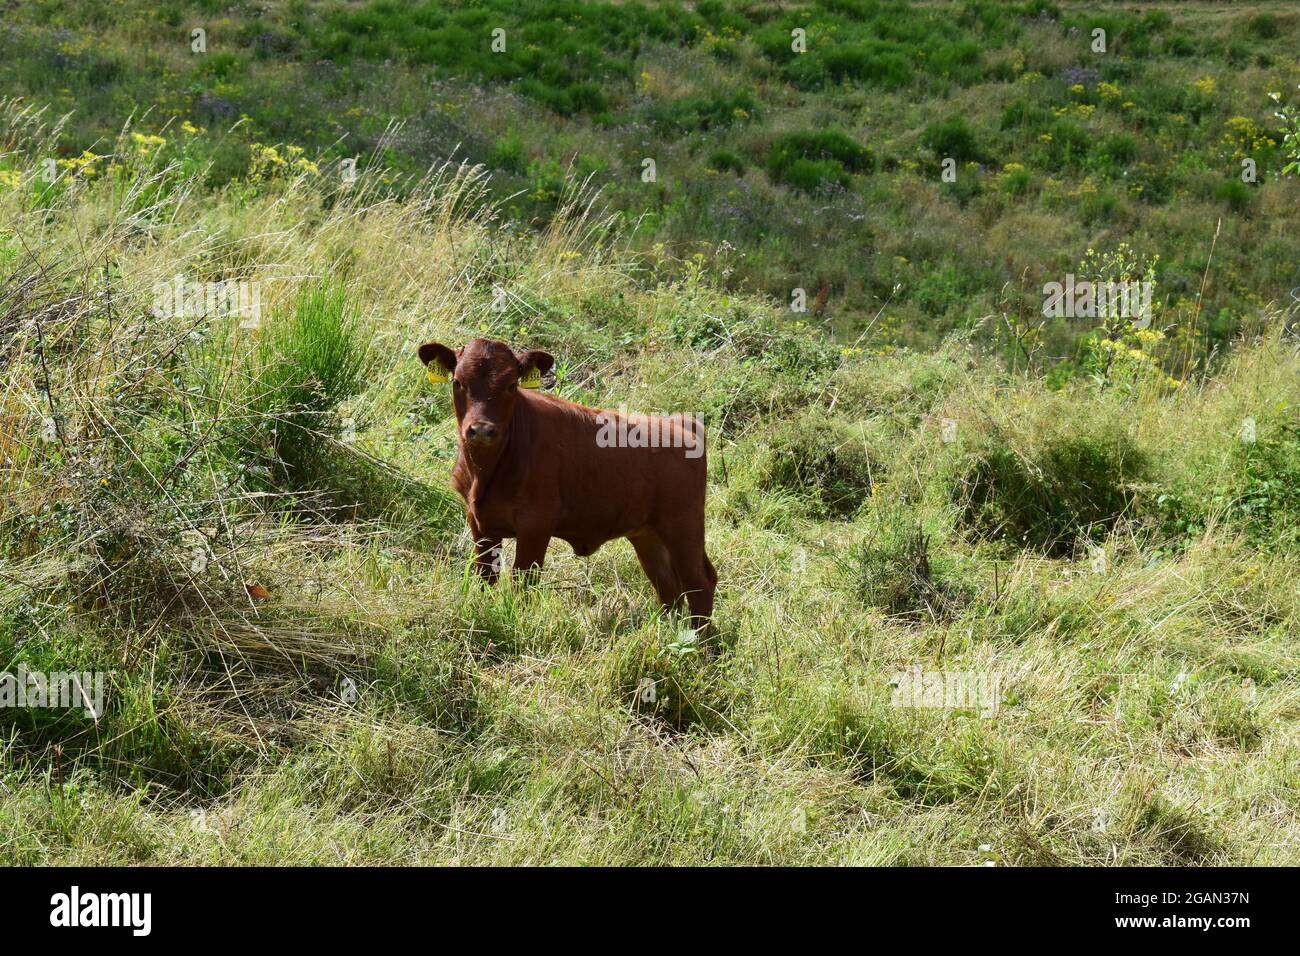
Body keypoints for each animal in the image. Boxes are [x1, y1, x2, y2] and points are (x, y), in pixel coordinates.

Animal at [421, 340, 717, 624]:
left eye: (511, 385)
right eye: (457, 382)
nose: (481, 429)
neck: (485, 474)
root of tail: (681, 422)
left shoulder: (536, 523)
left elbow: (523, 581)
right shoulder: (479, 521)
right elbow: (486, 577)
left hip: (682, 525)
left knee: (700, 580)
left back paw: (699, 637)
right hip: (647, 534)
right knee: (668, 586)